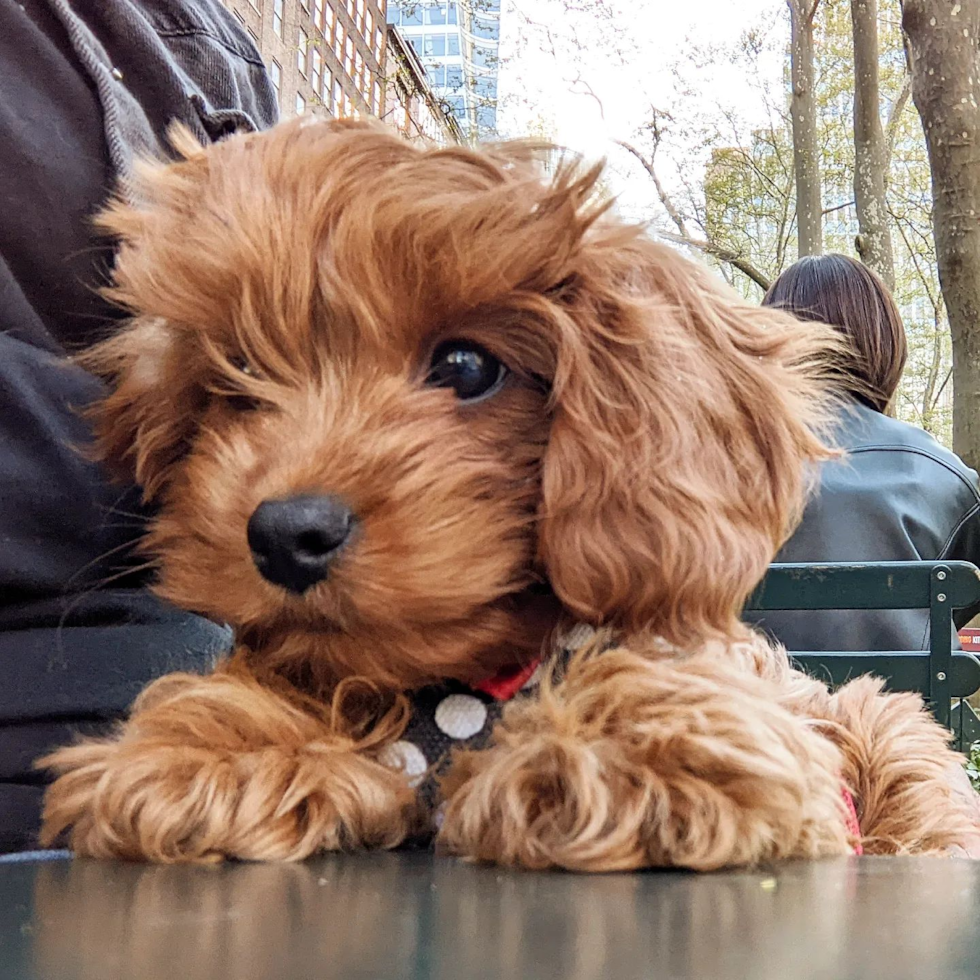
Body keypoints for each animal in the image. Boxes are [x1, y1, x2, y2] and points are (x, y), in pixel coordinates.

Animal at [36, 120, 972, 864]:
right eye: (235, 382)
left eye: (465, 366)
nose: (284, 533)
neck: (459, 695)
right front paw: (214, 744)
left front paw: (626, 747)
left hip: (882, 731)